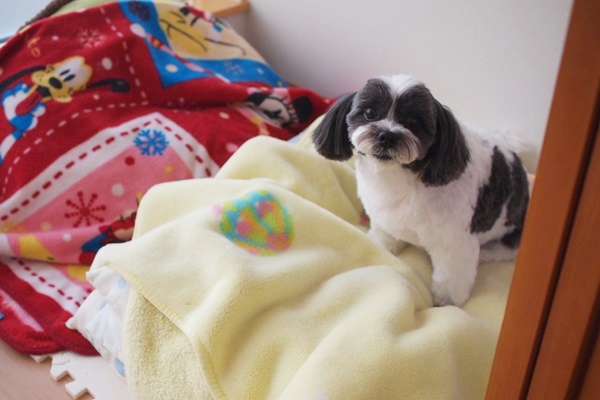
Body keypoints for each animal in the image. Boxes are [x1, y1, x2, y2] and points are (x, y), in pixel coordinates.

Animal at [312, 74, 530, 306]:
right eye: (370, 112)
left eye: (413, 121)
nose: (387, 135)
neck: (398, 179)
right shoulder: (383, 217)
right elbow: (384, 236)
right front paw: (381, 245)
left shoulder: (454, 243)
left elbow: (452, 276)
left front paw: (445, 300)